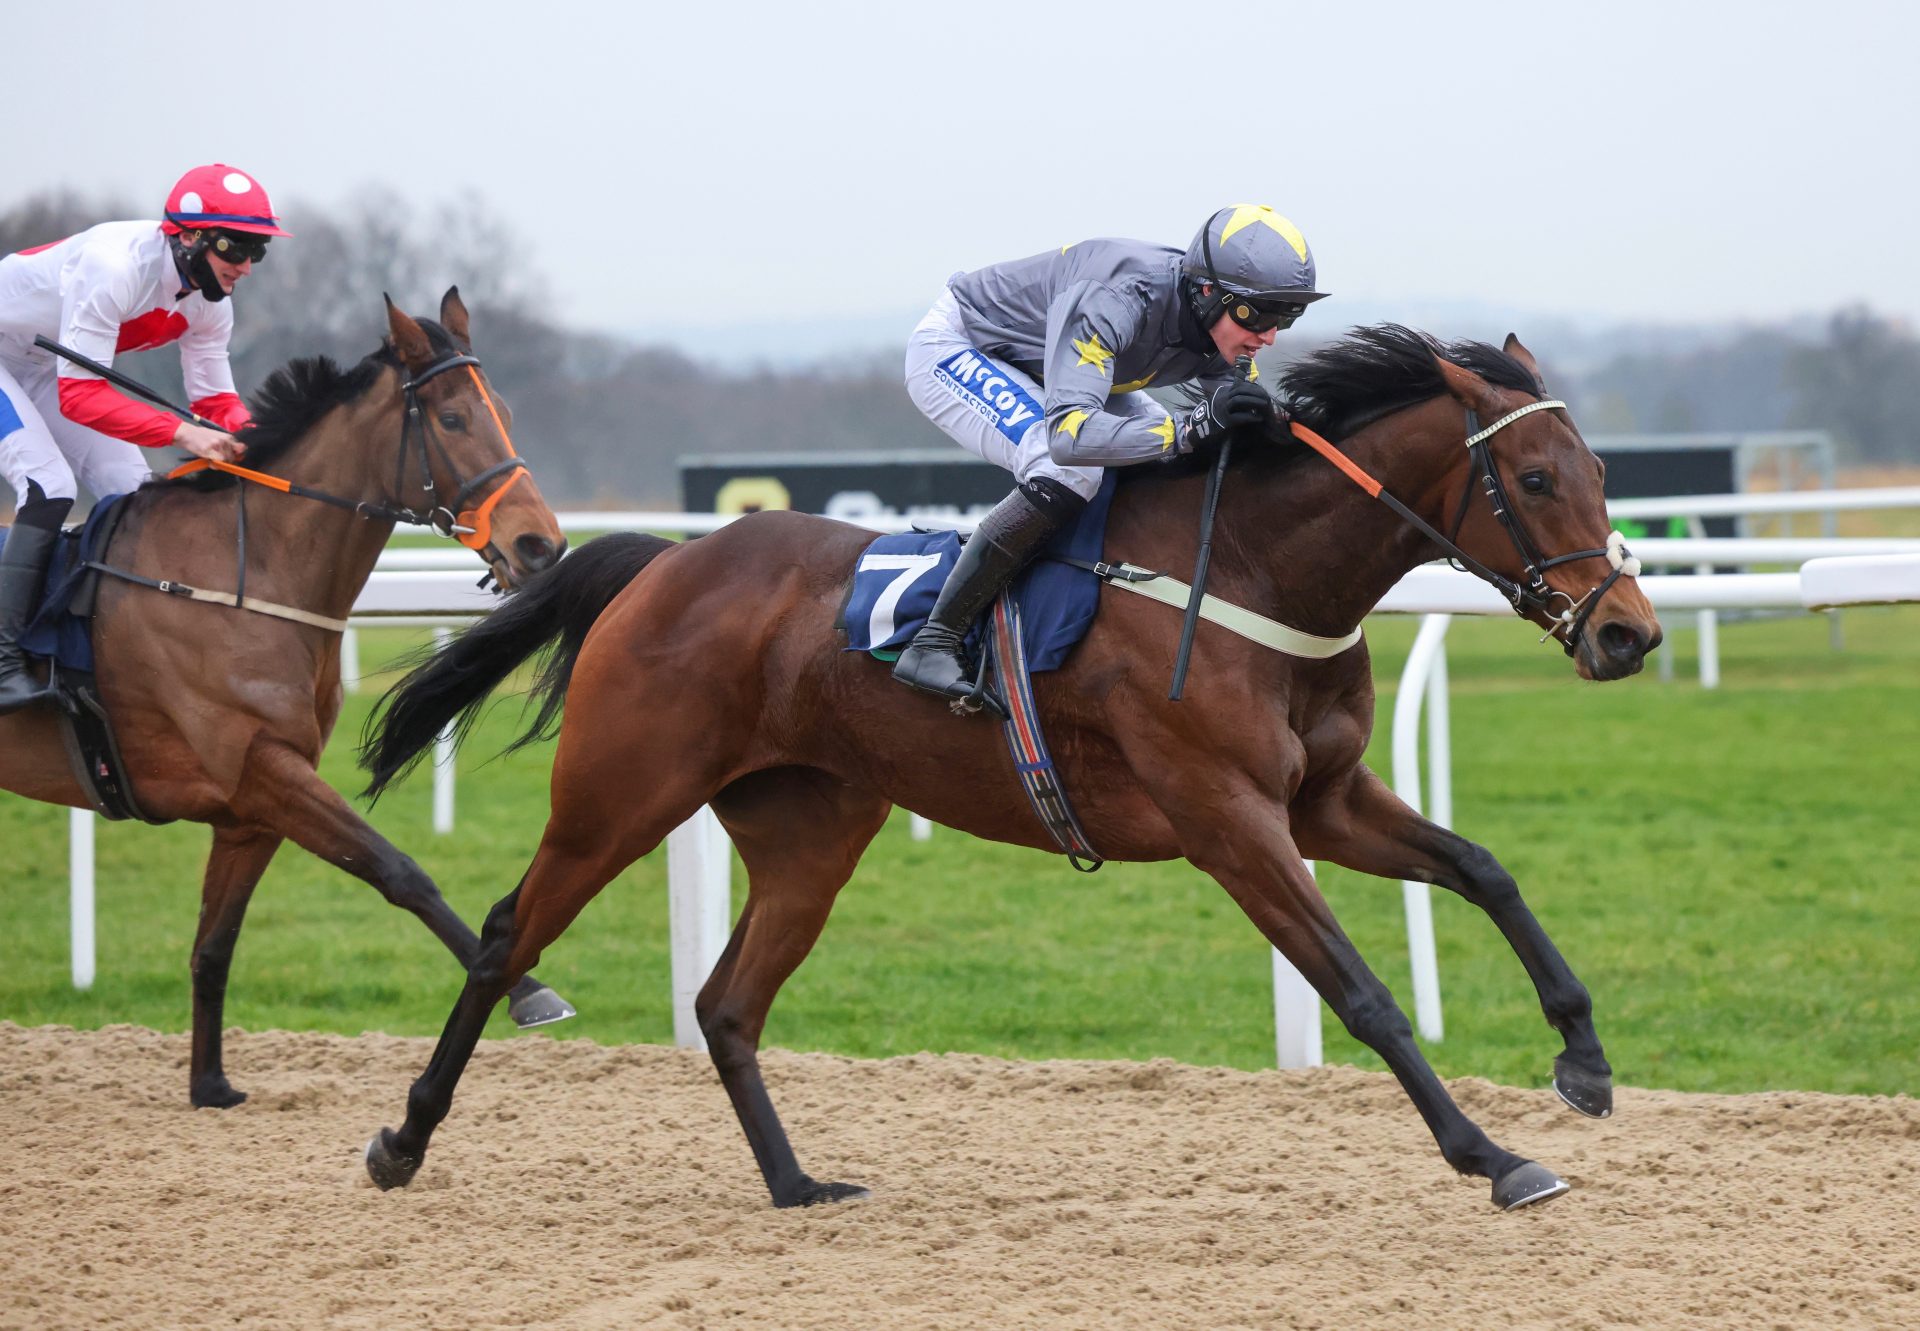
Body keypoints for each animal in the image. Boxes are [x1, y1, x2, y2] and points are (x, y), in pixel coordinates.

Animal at [0, 290, 568, 1113]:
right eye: (454, 418)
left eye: (508, 414)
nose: (540, 546)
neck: (245, 576)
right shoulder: (263, 768)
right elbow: (400, 870)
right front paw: (528, 990)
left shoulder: (253, 804)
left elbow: (213, 945)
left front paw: (210, 1084)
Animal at [360, 322, 1666, 1206]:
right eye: (1536, 479)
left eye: (1604, 474)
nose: (1629, 634)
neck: (1254, 570)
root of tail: (664, 562)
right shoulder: (1228, 817)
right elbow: (1362, 989)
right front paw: (1493, 1155)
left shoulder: (1324, 799)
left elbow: (1484, 867)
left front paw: (1585, 1059)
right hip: (621, 793)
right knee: (506, 934)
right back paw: (403, 1138)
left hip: (811, 827)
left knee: (727, 1000)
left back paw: (798, 1182)